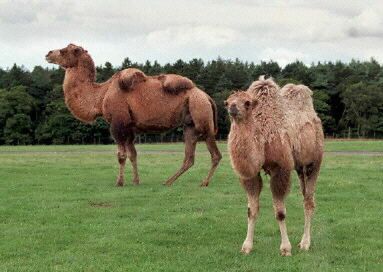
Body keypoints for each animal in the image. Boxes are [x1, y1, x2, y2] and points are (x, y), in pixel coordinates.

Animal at [46, 43, 222, 187]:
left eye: (64, 50)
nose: (48, 53)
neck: (101, 95)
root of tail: (207, 97)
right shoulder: (130, 127)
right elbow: (133, 155)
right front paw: (136, 181)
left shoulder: (117, 124)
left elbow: (121, 155)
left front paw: (119, 182)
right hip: (189, 125)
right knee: (189, 157)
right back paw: (168, 181)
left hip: (202, 117)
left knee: (215, 154)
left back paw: (204, 182)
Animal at [226, 77, 326, 258]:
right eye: (227, 102)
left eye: (247, 103)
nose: (232, 108)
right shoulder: (250, 175)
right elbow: (251, 210)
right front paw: (246, 246)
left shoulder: (281, 169)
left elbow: (280, 212)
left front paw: (285, 248)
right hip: (299, 168)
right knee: (305, 197)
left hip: (314, 162)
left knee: (309, 201)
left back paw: (305, 243)